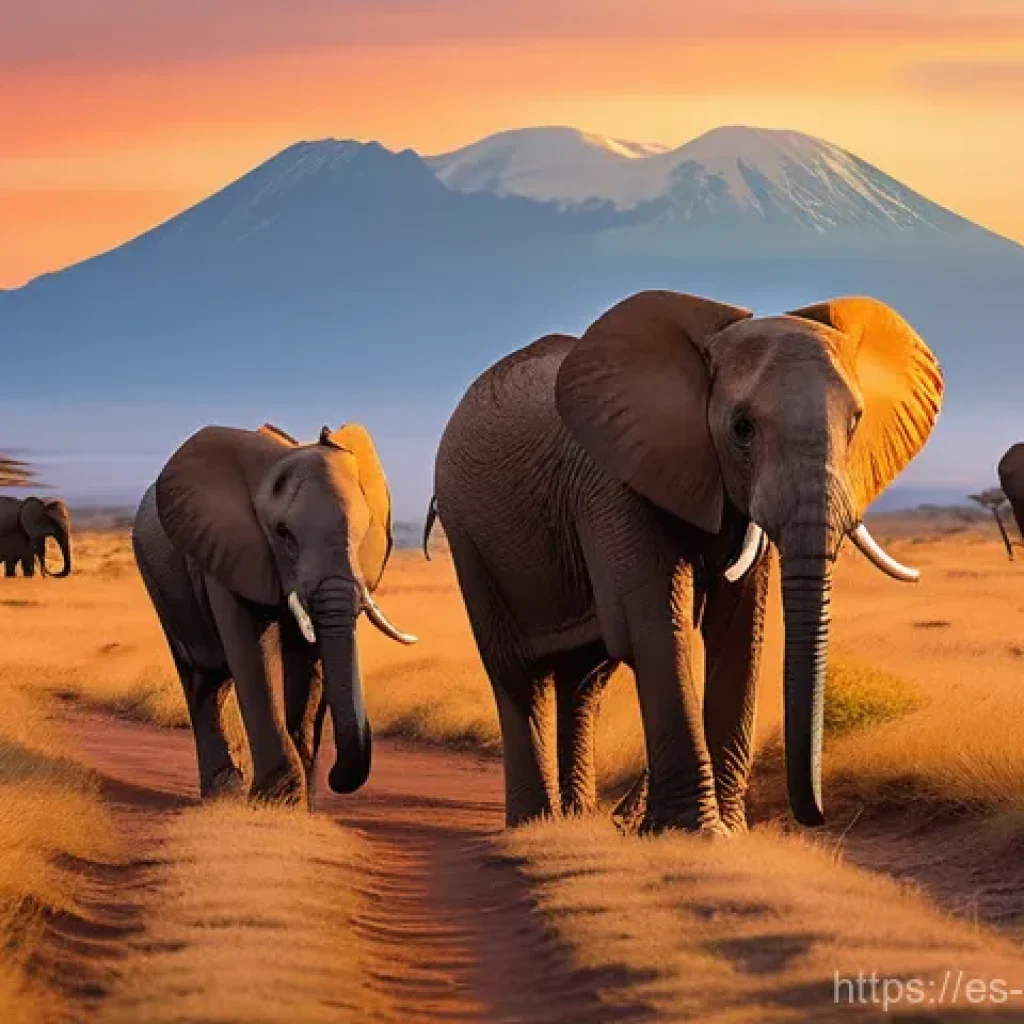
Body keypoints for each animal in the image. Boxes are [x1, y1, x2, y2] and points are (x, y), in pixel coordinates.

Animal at [132, 421, 417, 805]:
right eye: (283, 533)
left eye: (365, 528)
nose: (335, 777)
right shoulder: (228, 550)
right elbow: (255, 654)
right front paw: (279, 801)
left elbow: (311, 664)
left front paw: (305, 803)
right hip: (158, 579)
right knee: (200, 677)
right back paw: (222, 791)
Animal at [428, 290, 942, 833]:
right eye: (741, 428)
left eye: (855, 422)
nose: (815, 815)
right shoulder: (614, 477)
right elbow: (654, 622)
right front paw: (696, 832)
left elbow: (738, 626)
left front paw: (728, 831)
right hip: (467, 532)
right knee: (515, 672)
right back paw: (535, 824)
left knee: (584, 678)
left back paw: (578, 818)